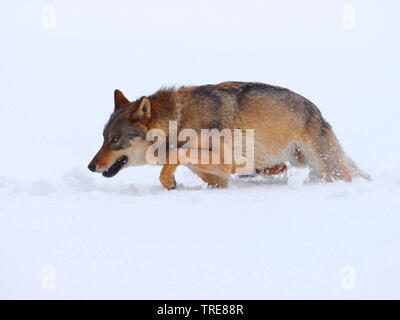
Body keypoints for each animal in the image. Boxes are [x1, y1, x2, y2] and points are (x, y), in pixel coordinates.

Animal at [87, 81, 368, 189]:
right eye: (103, 138)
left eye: (114, 140)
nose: (90, 167)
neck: (179, 121)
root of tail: (318, 113)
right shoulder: (218, 178)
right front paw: (172, 183)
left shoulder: (225, 162)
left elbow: (176, 154)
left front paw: (168, 180)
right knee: (278, 167)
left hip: (329, 169)